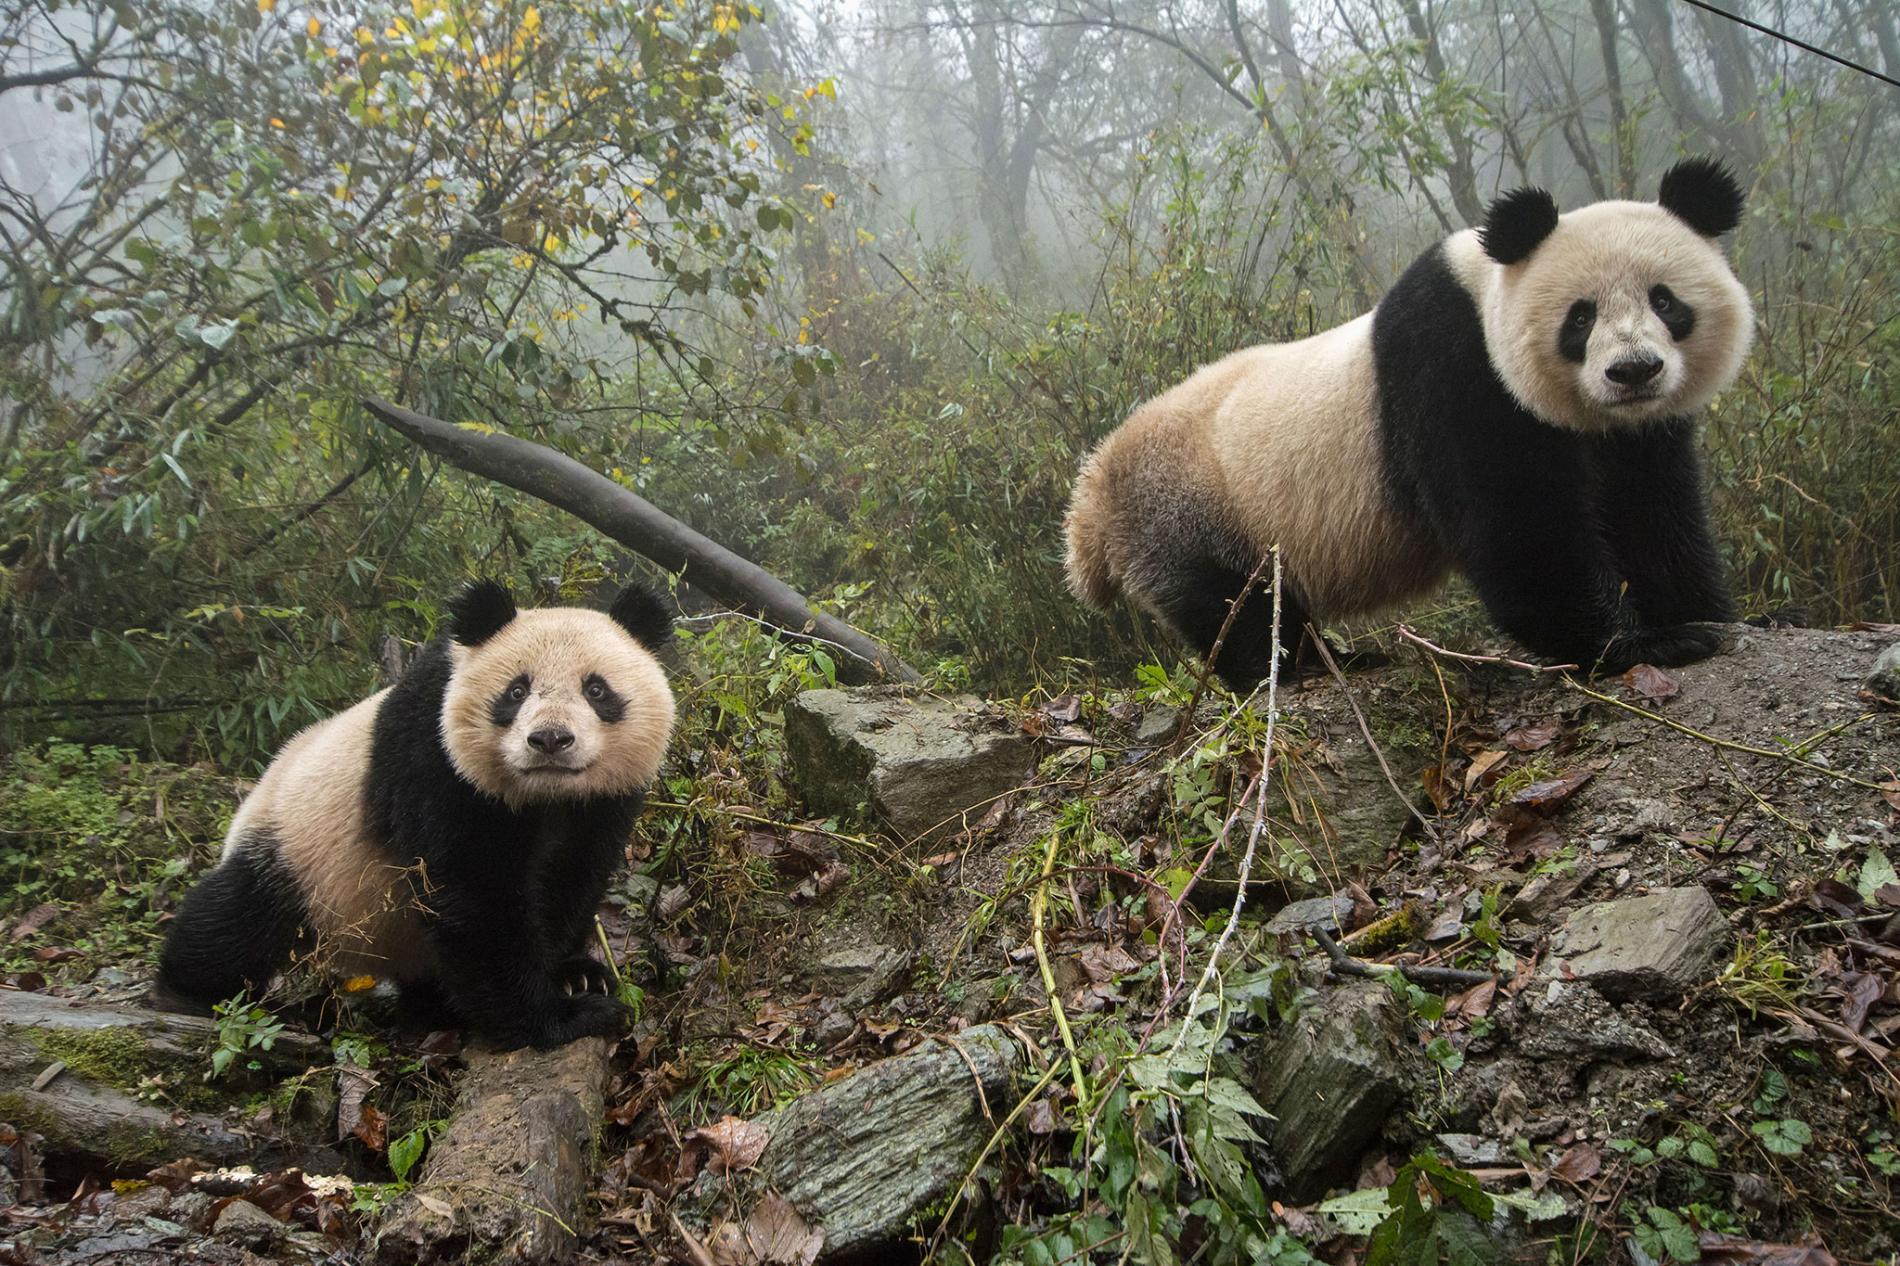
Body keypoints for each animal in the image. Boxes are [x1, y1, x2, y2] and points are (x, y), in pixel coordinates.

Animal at [157, 577, 676, 1049]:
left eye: (596, 690)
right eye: (515, 691)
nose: (550, 740)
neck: (544, 796)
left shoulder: (600, 804)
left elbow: (573, 876)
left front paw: (577, 974)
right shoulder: (432, 760)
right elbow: (477, 897)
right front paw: (559, 1016)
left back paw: (431, 1006)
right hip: (297, 851)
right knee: (234, 920)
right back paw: (185, 989)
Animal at [1064, 161, 1755, 691]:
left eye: (1665, 301)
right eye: (1579, 318)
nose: (1633, 371)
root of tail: (1092, 490)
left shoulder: (1639, 432)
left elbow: (1653, 512)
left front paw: (1713, 618)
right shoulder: (1454, 371)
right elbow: (1518, 531)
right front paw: (1645, 644)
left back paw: (1343, 660)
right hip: (1188, 508)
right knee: (1235, 605)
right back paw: (1289, 672)